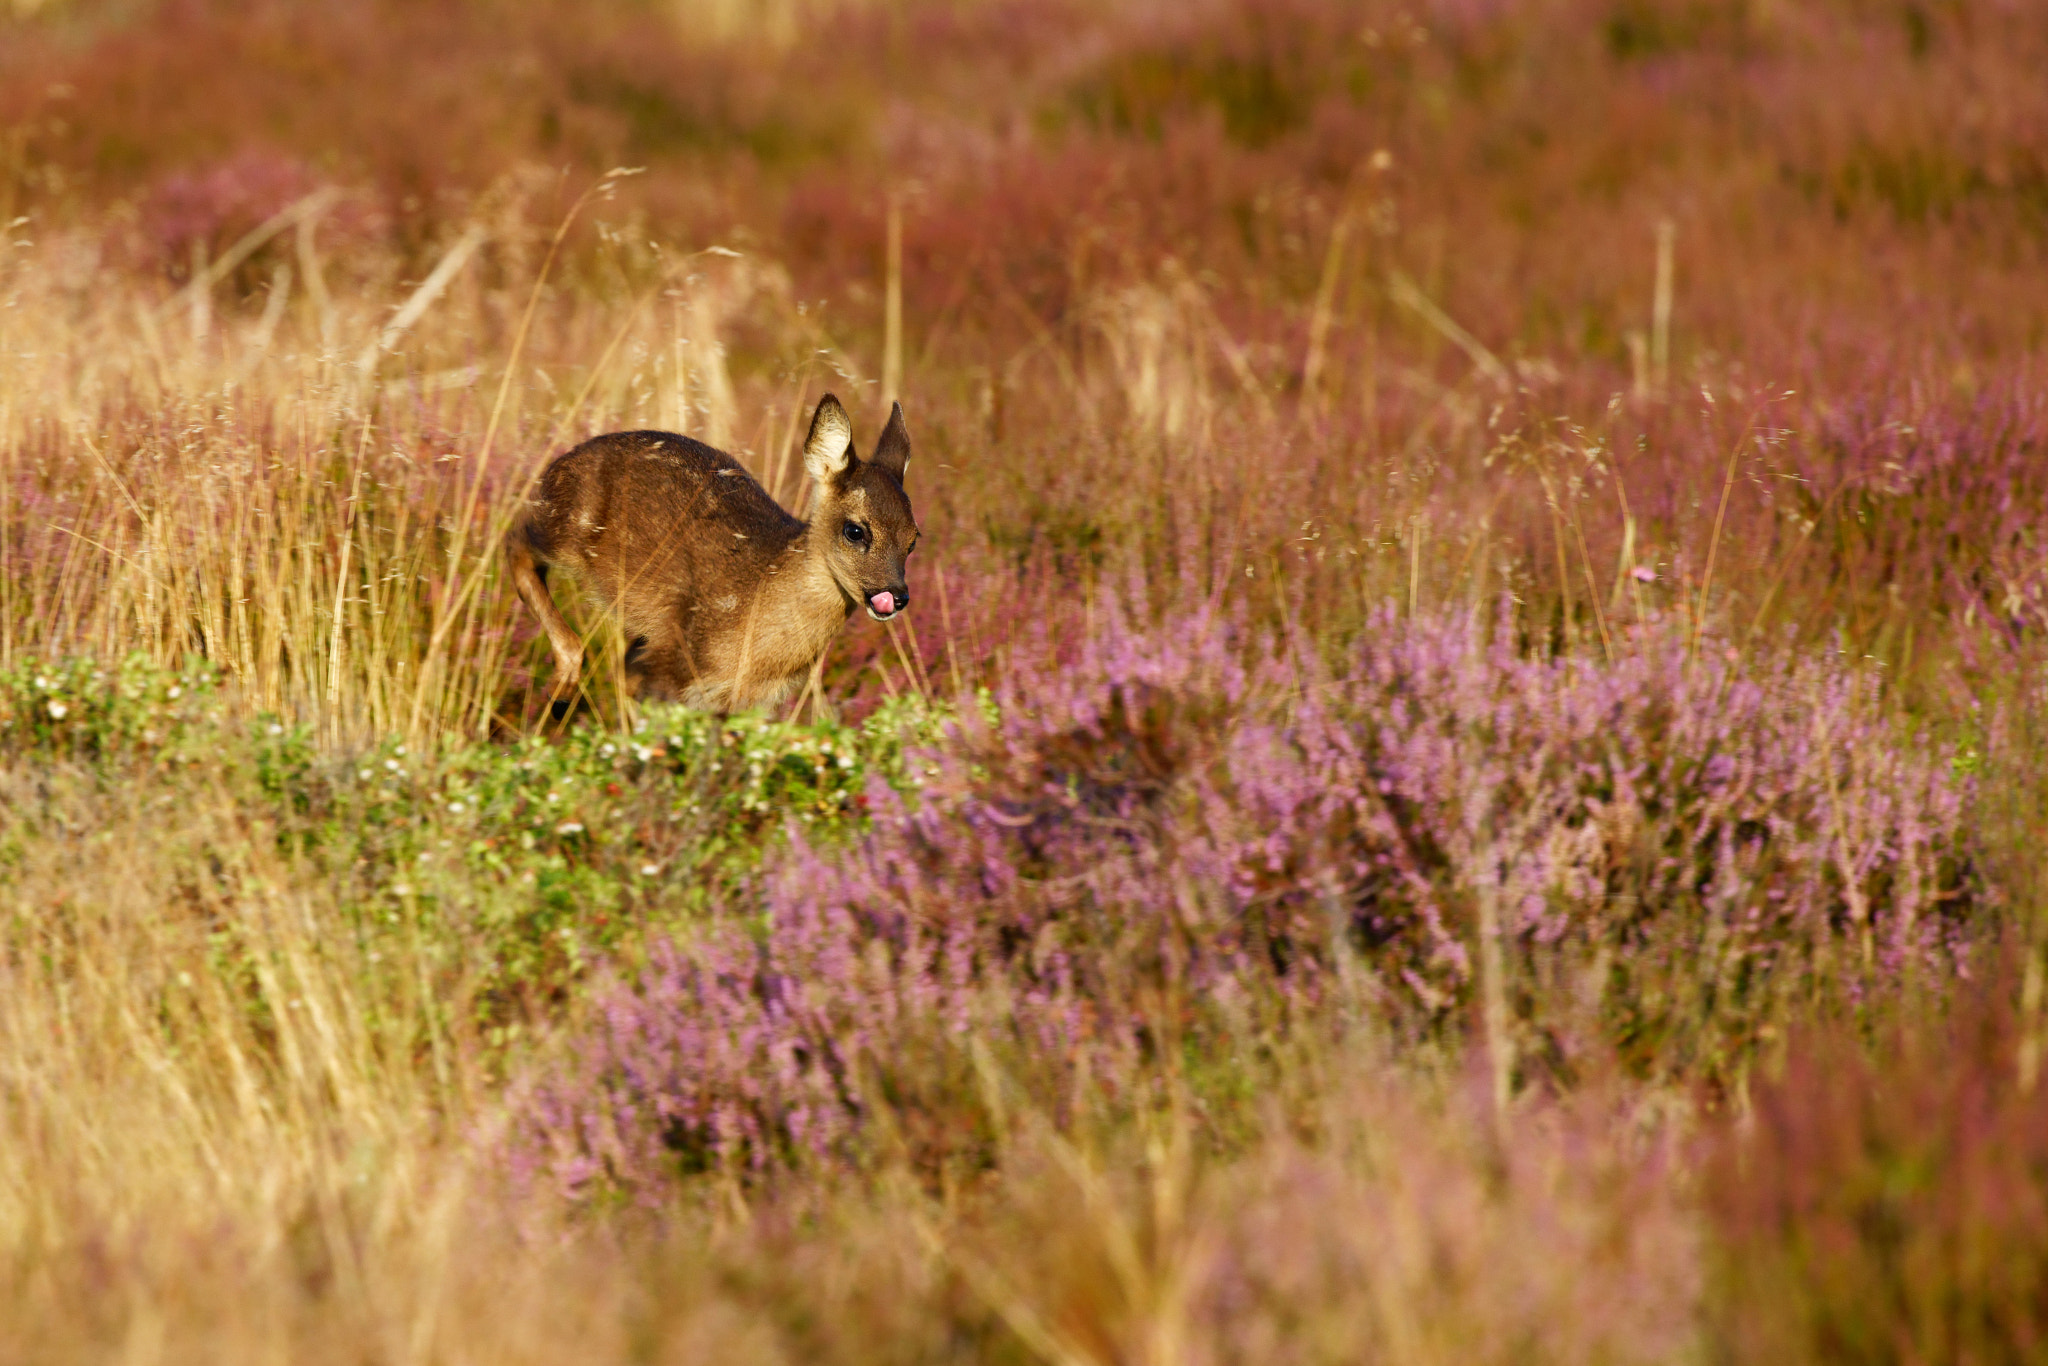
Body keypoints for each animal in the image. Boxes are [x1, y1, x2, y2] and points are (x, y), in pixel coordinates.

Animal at [506, 393, 917, 720]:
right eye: (855, 530)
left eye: (913, 540)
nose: (896, 596)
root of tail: (560, 462)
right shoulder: (671, 661)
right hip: (566, 531)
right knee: (516, 543)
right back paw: (563, 689)